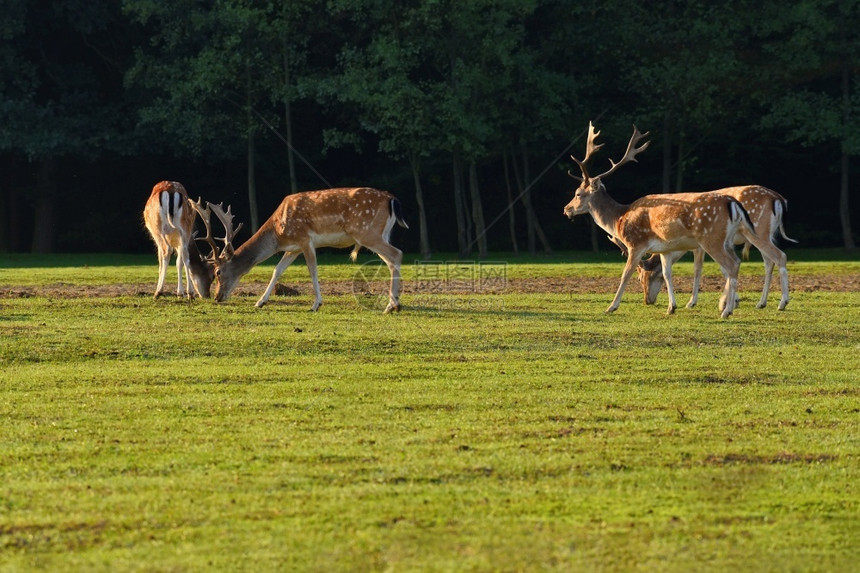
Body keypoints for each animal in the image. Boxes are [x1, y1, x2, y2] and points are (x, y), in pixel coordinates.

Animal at [195, 187, 410, 312]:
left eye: (217, 272)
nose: (217, 297)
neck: (278, 232)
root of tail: (393, 200)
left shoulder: (305, 239)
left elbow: (312, 270)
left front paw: (316, 304)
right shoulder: (294, 248)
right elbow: (277, 270)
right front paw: (260, 301)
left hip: (367, 232)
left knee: (396, 254)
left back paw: (391, 305)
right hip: (382, 233)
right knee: (391, 260)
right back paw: (394, 302)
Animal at [560, 122, 756, 318]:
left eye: (578, 194)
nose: (566, 209)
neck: (619, 219)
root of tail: (732, 202)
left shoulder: (636, 244)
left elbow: (625, 274)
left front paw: (611, 307)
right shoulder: (665, 249)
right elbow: (667, 274)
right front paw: (671, 307)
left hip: (711, 238)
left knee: (732, 265)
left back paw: (727, 311)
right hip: (726, 240)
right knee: (737, 262)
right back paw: (729, 306)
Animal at [636, 185, 796, 310]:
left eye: (642, 278)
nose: (647, 301)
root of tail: (778, 199)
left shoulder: (700, 245)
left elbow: (698, 269)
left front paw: (692, 302)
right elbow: (724, 269)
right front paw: (733, 301)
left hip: (759, 231)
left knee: (780, 256)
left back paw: (782, 302)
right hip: (770, 234)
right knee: (769, 262)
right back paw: (761, 303)